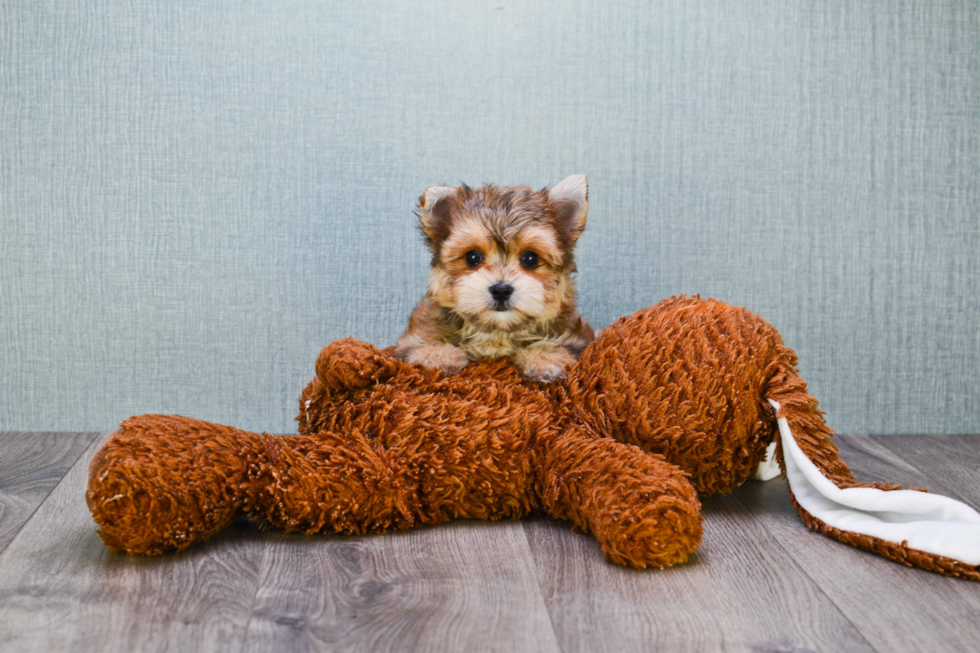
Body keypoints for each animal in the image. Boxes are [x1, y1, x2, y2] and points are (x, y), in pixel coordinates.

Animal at [392, 173, 592, 382]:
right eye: (472, 257)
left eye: (530, 258)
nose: (501, 290)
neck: (496, 332)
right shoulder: (413, 338)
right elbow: (422, 347)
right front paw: (438, 355)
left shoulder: (578, 339)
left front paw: (544, 358)